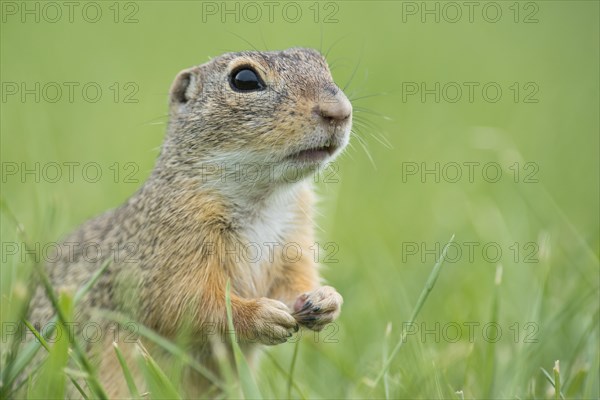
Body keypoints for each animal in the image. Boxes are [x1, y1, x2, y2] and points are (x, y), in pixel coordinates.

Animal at [27, 47, 352, 396]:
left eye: (320, 62)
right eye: (244, 79)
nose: (340, 112)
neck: (264, 198)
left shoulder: (295, 236)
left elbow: (296, 279)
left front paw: (325, 300)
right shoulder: (172, 242)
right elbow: (188, 302)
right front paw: (261, 316)